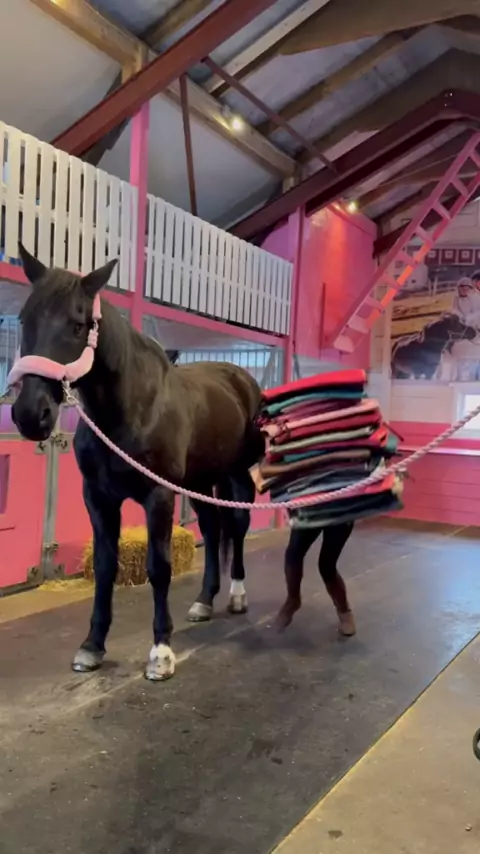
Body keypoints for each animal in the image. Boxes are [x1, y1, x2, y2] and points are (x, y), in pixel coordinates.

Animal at [11, 244, 265, 681]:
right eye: (25, 318)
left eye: (78, 325)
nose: (30, 415)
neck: (131, 408)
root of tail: (241, 379)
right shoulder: (98, 498)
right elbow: (105, 567)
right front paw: (92, 647)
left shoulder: (159, 497)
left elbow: (159, 567)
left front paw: (161, 653)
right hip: (199, 482)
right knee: (212, 530)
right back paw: (203, 602)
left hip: (235, 477)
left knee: (236, 526)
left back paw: (236, 596)